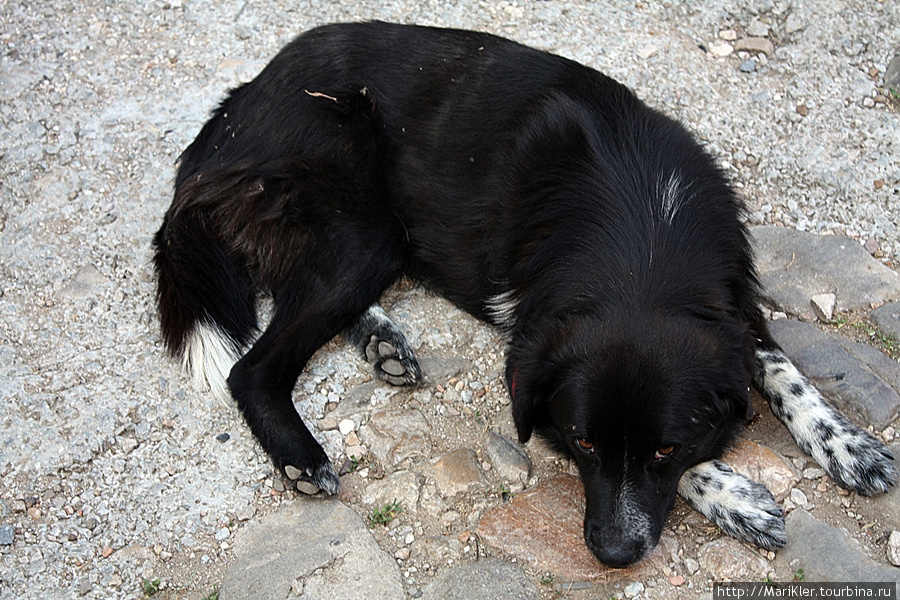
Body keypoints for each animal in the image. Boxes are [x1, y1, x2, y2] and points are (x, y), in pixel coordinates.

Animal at [155, 22, 892, 568]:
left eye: (663, 447)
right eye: (582, 443)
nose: (613, 555)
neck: (642, 240)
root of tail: (241, 97)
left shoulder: (732, 306)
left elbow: (785, 374)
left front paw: (847, 447)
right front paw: (734, 496)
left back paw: (382, 341)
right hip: (365, 226)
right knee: (253, 367)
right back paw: (303, 457)